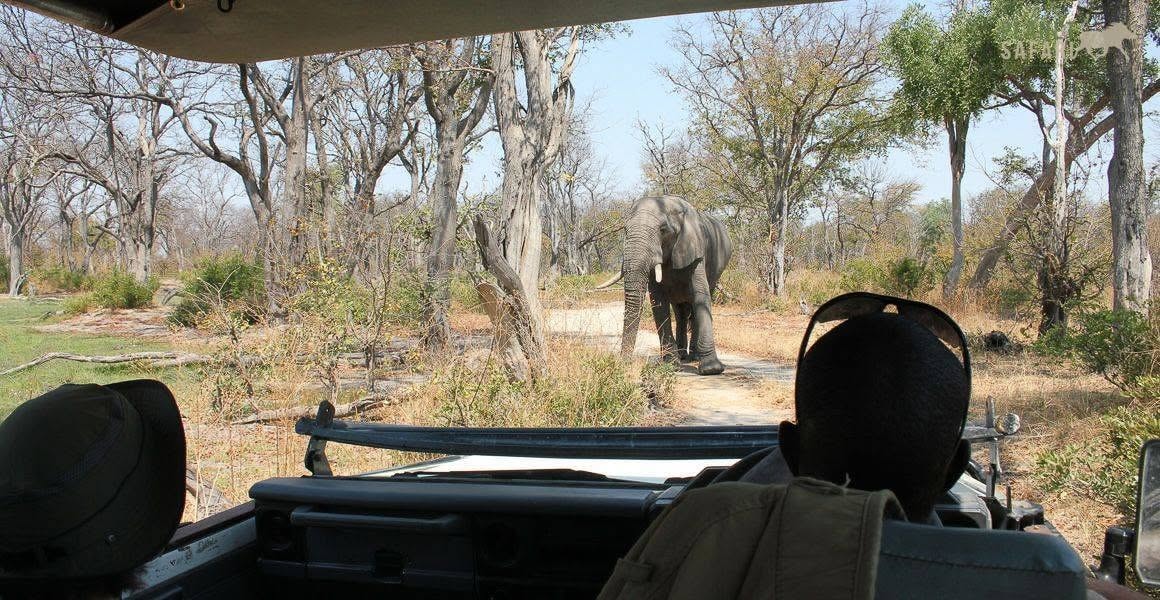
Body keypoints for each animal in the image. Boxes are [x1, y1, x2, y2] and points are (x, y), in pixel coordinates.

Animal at [596, 195, 732, 375]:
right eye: (625, 230)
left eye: (663, 230)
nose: (623, 363)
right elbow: (658, 302)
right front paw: (671, 365)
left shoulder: (696, 250)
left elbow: (701, 296)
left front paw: (711, 369)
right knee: (680, 312)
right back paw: (682, 356)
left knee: (694, 307)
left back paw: (694, 357)